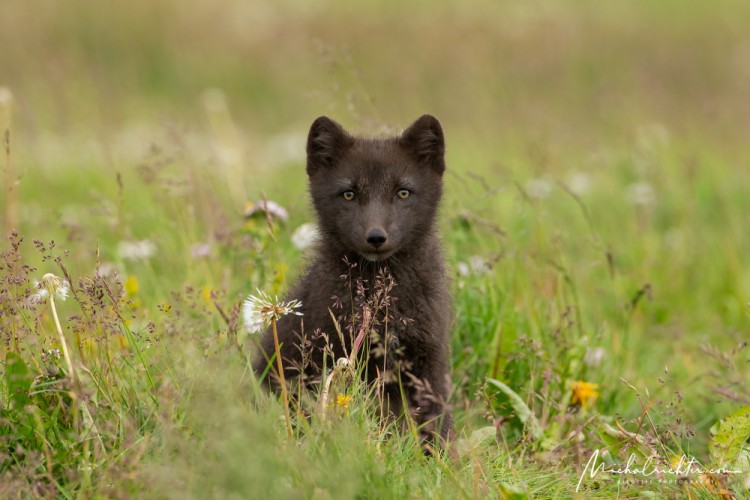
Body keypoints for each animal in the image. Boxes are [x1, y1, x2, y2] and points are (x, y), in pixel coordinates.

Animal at [256, 115, 456, 444]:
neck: (379, 299)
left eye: (403, 192)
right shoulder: (330, 356)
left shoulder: (428, 359)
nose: (375, 237)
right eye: (348, 194)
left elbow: (437, 422)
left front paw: (441, 456)